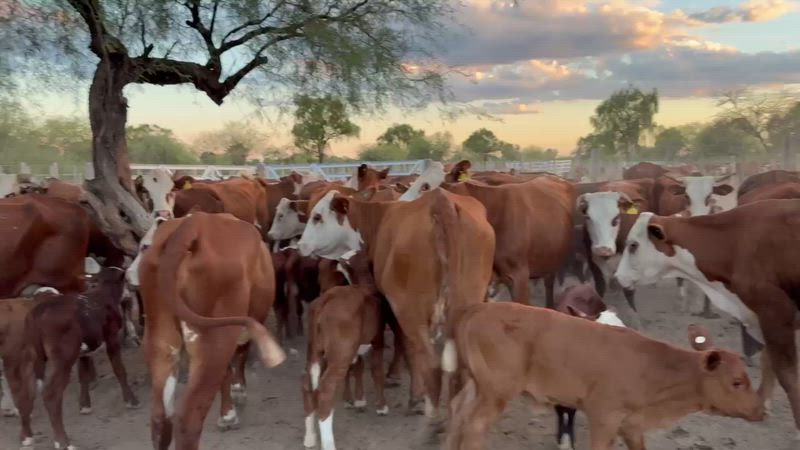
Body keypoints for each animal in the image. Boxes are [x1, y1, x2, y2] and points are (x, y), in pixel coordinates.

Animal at [138, 213, 286, 450]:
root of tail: (194, 222)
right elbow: (240, 356)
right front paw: (236, 397)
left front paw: (228, 411)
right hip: (215, 335)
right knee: (188, 419)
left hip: (159, 335)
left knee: (160, 418)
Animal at [297, 188, 495, 417]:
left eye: (317, 217)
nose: (300, 245)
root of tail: (440, 199)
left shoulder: (391, 306)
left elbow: (404, 346)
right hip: (467, 302)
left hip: (409, 310)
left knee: (428, 359)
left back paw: (424, 405)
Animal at [302, 249, 388, 450]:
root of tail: (326, 300)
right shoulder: (377, 339)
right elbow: (376, 370)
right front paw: (381, 407)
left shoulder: (355, 349)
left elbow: (357, 368)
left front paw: (358, 400)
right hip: (340, 353)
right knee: (326, 389)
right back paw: (328, 444)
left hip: (315, 349)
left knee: (308, 384)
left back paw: (309, 437)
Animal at [443, 302, 764, 450]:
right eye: (737, 382)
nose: (761, 411)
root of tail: (480, 307)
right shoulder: (604, 417)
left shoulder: (631, 425)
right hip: (496, 392)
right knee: (474, 426)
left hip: (477, 385)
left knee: (458, 413)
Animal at [614, 200, 800, 438]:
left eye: (633, 245)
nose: (618, 277)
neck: (736, 242)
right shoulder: (763, 317)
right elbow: (769, 361)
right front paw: (761, 404)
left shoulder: (775, 312)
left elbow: (788, 376)